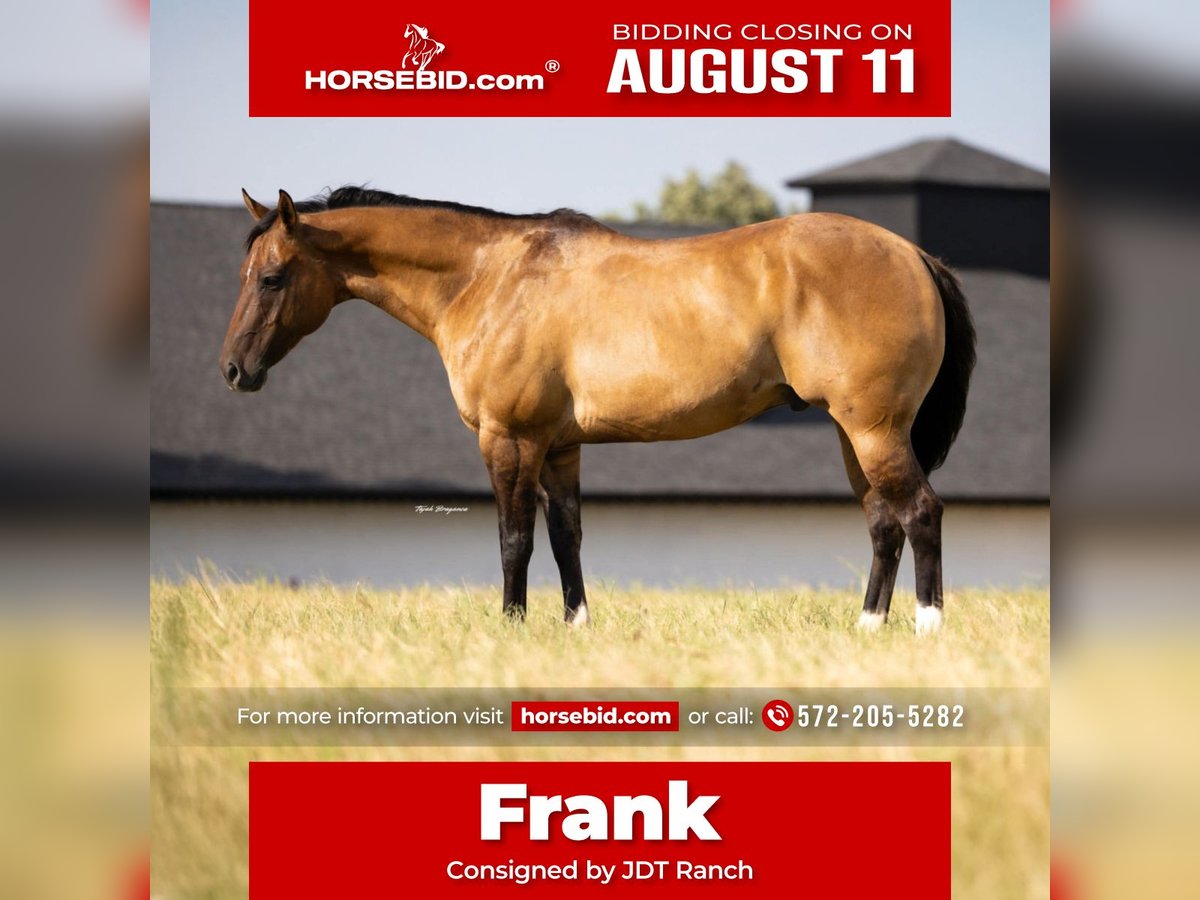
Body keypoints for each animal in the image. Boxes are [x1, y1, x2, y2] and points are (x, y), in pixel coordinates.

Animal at [223, 187, 975, 633]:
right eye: (246, 274)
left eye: (272, 277)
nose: (233, 369)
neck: (489, 278)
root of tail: (914, 254)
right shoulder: (559, 446)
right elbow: (566, 538)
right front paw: (574, 627)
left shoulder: (511, 439)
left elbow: (515, 539)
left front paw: (512, 627)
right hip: (855, 435)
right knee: (883, 523)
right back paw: (867, 628)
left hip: (874, 430)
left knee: (921, 513)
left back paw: (927, 628)